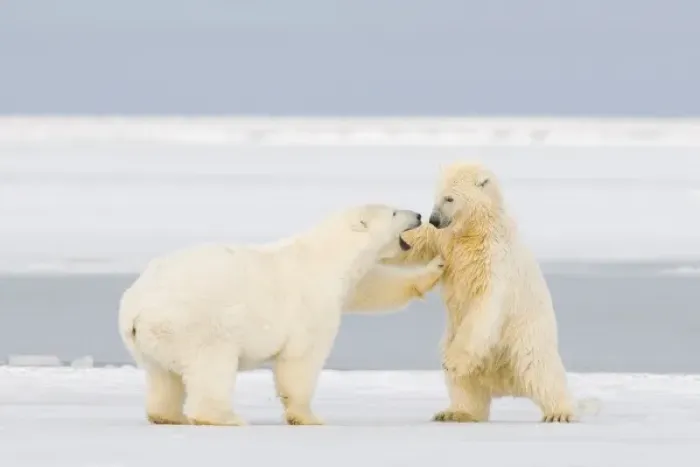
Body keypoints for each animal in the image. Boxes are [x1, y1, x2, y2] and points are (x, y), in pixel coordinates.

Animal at [117, 203, 445, 427]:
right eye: (394, 212)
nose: (418, 214)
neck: (328, 256)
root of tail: (135, 308)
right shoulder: (312, 301)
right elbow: (301, 361)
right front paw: (309, 417)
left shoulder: (346, 283)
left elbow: (370, 288)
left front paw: (437, 267)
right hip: (195, 325)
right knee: (212, 368)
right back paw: (225, 417)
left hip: (153, 340)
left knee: (163, 378)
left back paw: (168, 416)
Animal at [382, 161, 579, 423]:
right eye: (436, 197)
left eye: (449, 198)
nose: (434, 219)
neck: (477, 229)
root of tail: (504, 382)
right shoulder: (445, 240)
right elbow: (417, 243)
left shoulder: (494, 259)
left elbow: (485, 303)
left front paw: (452, 361)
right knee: (464, 383)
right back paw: (455, 412)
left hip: (526, 336)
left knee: (540, 370)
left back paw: (560, 413)